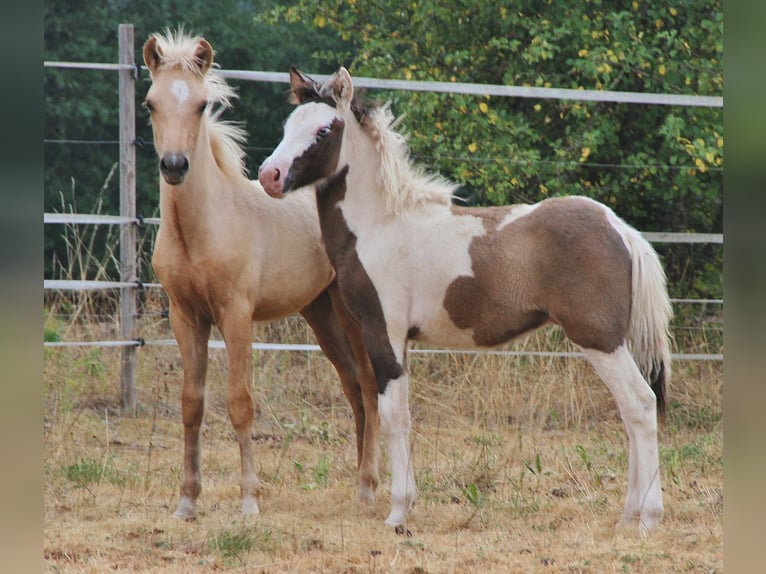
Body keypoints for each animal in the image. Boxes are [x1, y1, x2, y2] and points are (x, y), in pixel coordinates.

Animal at [142, 32, 380, 519]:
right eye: (151, 103)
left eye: (201, 105)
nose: (174, 165)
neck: (202, 228)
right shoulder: (185, 316)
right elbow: (191, 403)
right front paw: (186, 500)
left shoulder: (236, 315)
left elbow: (240, 401)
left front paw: (249, 500)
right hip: (320, 312)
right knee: (352, 386)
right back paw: (358, 484)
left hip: (349, 311)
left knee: (367, 385)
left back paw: (370, 486)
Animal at [258, 67, 673, 535]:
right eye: (288, 125)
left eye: (324, 130)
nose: (270, 176)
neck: (379, 225)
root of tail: (621, 228)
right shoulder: (395, 340)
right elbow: (398, 413)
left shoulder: (385, 332)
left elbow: (394, 415)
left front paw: (398, 512)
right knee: (629, 411)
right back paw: (627, 516)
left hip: (600, 339)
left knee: (640, 405)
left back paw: (648, 518)